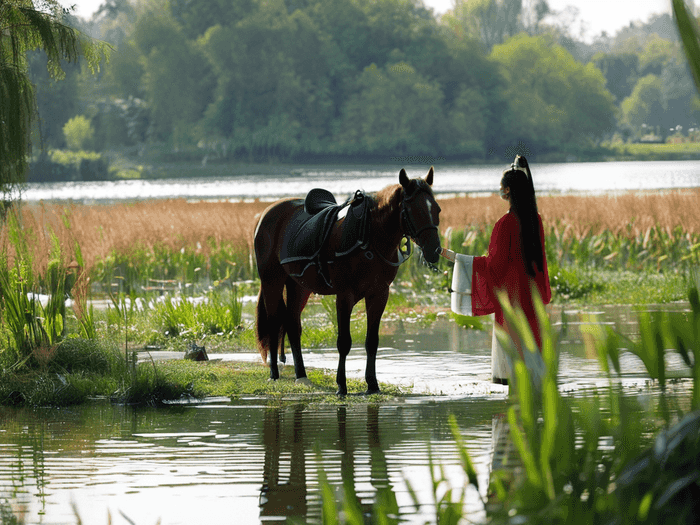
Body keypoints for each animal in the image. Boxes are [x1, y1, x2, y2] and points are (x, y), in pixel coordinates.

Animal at [252, 167, 440, 392]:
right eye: (413, 210)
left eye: (436, 209)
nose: (435, 250)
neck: (369, 237)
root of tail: (267, 213)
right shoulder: (344, 295)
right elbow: (344, 342)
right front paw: (341, 385)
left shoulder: (379, 294)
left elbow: (372, 341)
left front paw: (372, 384)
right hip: (272, 281)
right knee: (273, 323)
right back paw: (274, 373)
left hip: (299, 286)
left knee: (292, 325)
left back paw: (301, 375)